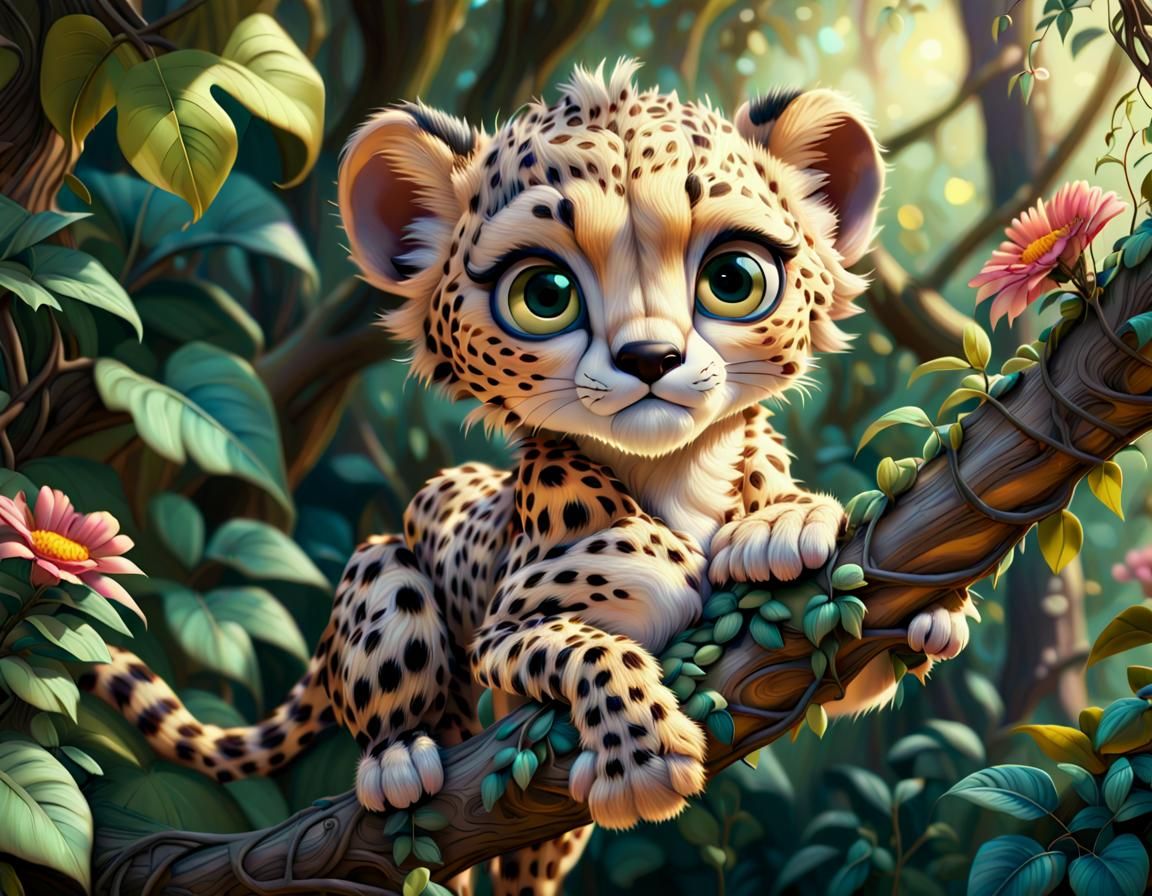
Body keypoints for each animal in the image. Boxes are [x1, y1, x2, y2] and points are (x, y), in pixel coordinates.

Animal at [87, 60, 976, 895]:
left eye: (734, 278)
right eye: (543, 294)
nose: (649, 358)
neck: (676, 473)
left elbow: (849, 649)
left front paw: (795, 531)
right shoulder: (510, 628)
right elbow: (588, 647)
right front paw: (642, 755)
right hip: (383, 571)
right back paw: (397, 759)